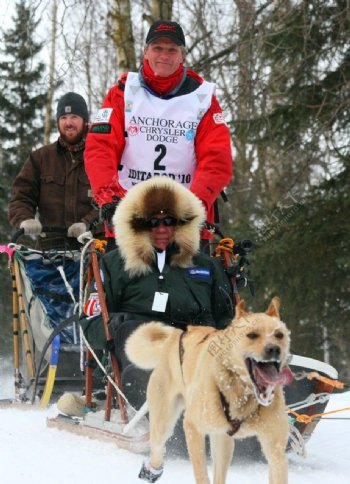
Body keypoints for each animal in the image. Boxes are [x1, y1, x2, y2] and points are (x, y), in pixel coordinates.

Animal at [126, 294, 292, 484]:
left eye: (279, 335)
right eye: (252, 335)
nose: (274, 348)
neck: (243, 393)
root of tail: (177, 334)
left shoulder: (276, 451)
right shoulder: (192, 427)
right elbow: (202, 474)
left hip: (222, 441)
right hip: (163, 423)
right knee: (157, 449)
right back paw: (151, 471)